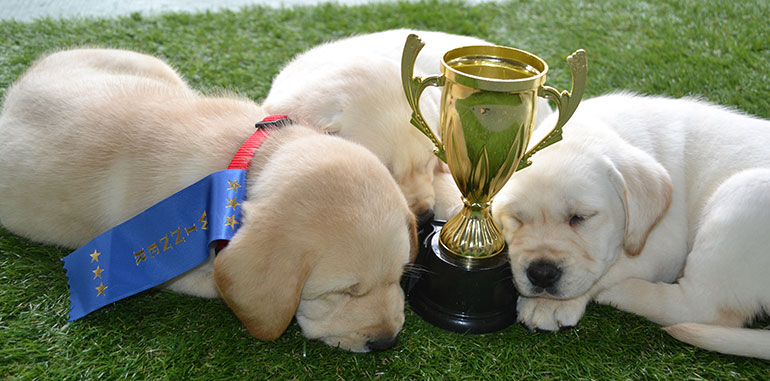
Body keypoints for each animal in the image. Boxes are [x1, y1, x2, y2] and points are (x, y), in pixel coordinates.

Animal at [492, 93, 768, 360]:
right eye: (515, 218)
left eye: (581, 217)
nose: (541, 274)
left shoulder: (663, 247)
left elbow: (611, 268)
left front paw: (548, 304)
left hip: (742, 196)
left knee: (701, 308)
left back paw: (620, 293)